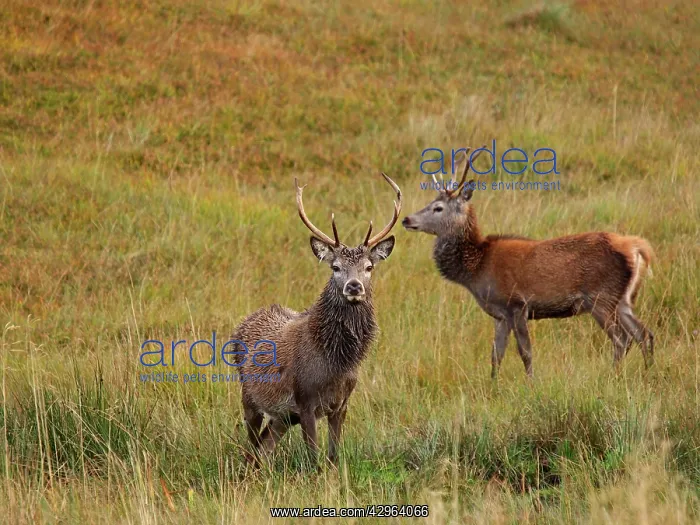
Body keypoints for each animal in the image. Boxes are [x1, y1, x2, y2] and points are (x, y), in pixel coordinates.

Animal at [232, 173, 401, 467]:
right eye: (335, 267)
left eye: (369, 267)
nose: (354, 286)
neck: (335, 361)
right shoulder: (305, 400)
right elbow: (314, 460)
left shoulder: (341, 404)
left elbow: (333, 457)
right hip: (250, 397)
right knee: (251, 446)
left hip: (283, 416)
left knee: (264, 447)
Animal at [402, 147, 654, 379]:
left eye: (438, 207)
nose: (406, 219)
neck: (477, 269)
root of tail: (636, 248)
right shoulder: (500, 314)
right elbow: (496, 355)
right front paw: (493, 386)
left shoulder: (517, 304)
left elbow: (525, 352)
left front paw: (531, 384)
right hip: (622, 299)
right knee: (644, 334)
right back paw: (648, 373)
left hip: (600, 298)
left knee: (622, 339)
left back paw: (613, 376)